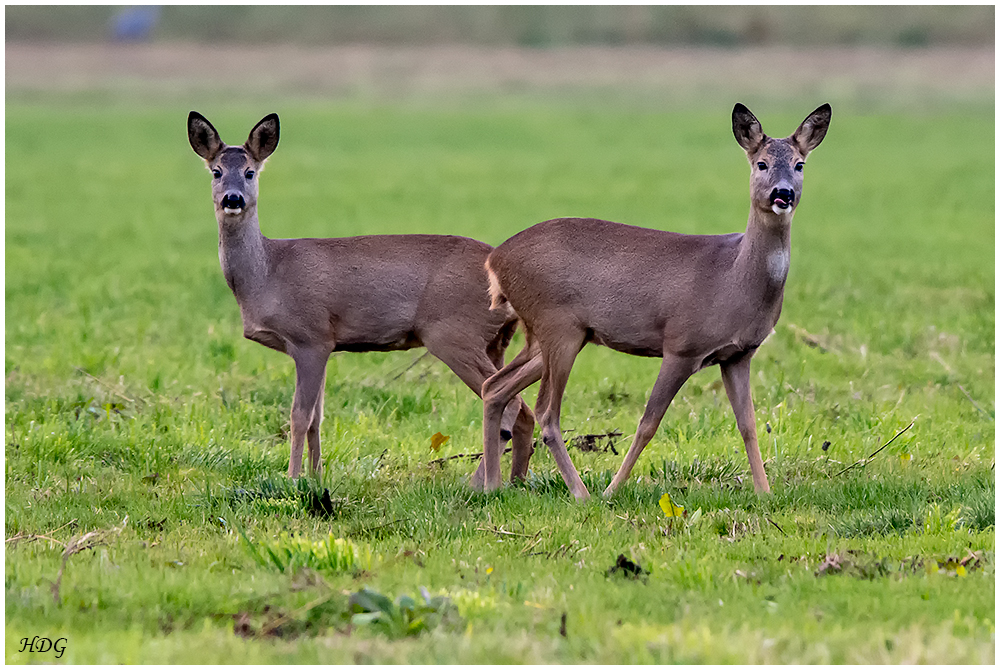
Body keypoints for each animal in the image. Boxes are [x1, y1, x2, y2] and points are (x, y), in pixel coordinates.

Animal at [184, 113, 536, 486]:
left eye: (250, 171)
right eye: (216, 171)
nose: (233, 199)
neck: (267, 275)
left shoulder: (310, 337)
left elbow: (299, 415)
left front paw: (293, 478)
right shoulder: (325, 345)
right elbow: (317, 417)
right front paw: (316, 477)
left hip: (454, 333)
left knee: (506, 402)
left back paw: (482, 484)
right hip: (494, 341)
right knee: (520, 409)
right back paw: (515, 481)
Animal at [480, 101, 832, 498]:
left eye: (800, 164)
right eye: (761, 163)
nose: (782, 194)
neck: (735, 277)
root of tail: (495, 260)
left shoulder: (738, 355)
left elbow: (748, 425)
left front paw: (764, 493)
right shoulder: (681, 345)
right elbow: (648, 422)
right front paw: (612, 490)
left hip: (548, 335)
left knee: (495, 387)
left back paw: (491, 485)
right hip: (557, 325)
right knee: (546, 412)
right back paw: (583, 494)